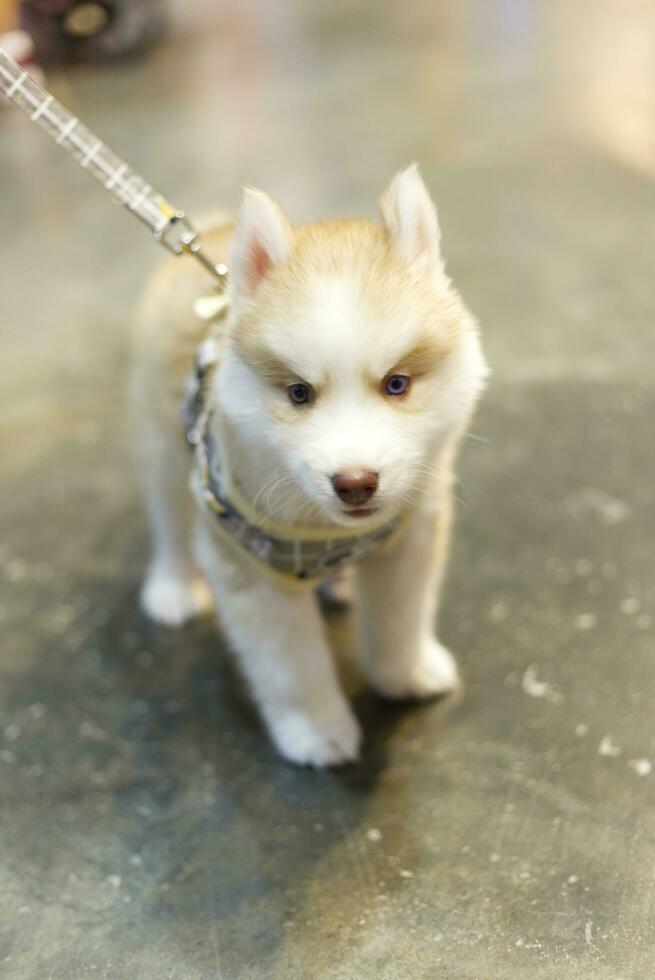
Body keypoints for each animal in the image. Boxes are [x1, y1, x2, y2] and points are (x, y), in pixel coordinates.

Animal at [132, 167, 486, 764]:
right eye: (299, 392)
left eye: (397, 383)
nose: (355, 483)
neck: (327, 531)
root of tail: (212, 228)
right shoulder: (250, 567)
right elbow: (289, 665)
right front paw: (316, 731)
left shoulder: (413, 535)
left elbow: (401, 617)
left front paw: (405, 674)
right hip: (162, 447)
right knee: (170, 522)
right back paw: (173, 588)